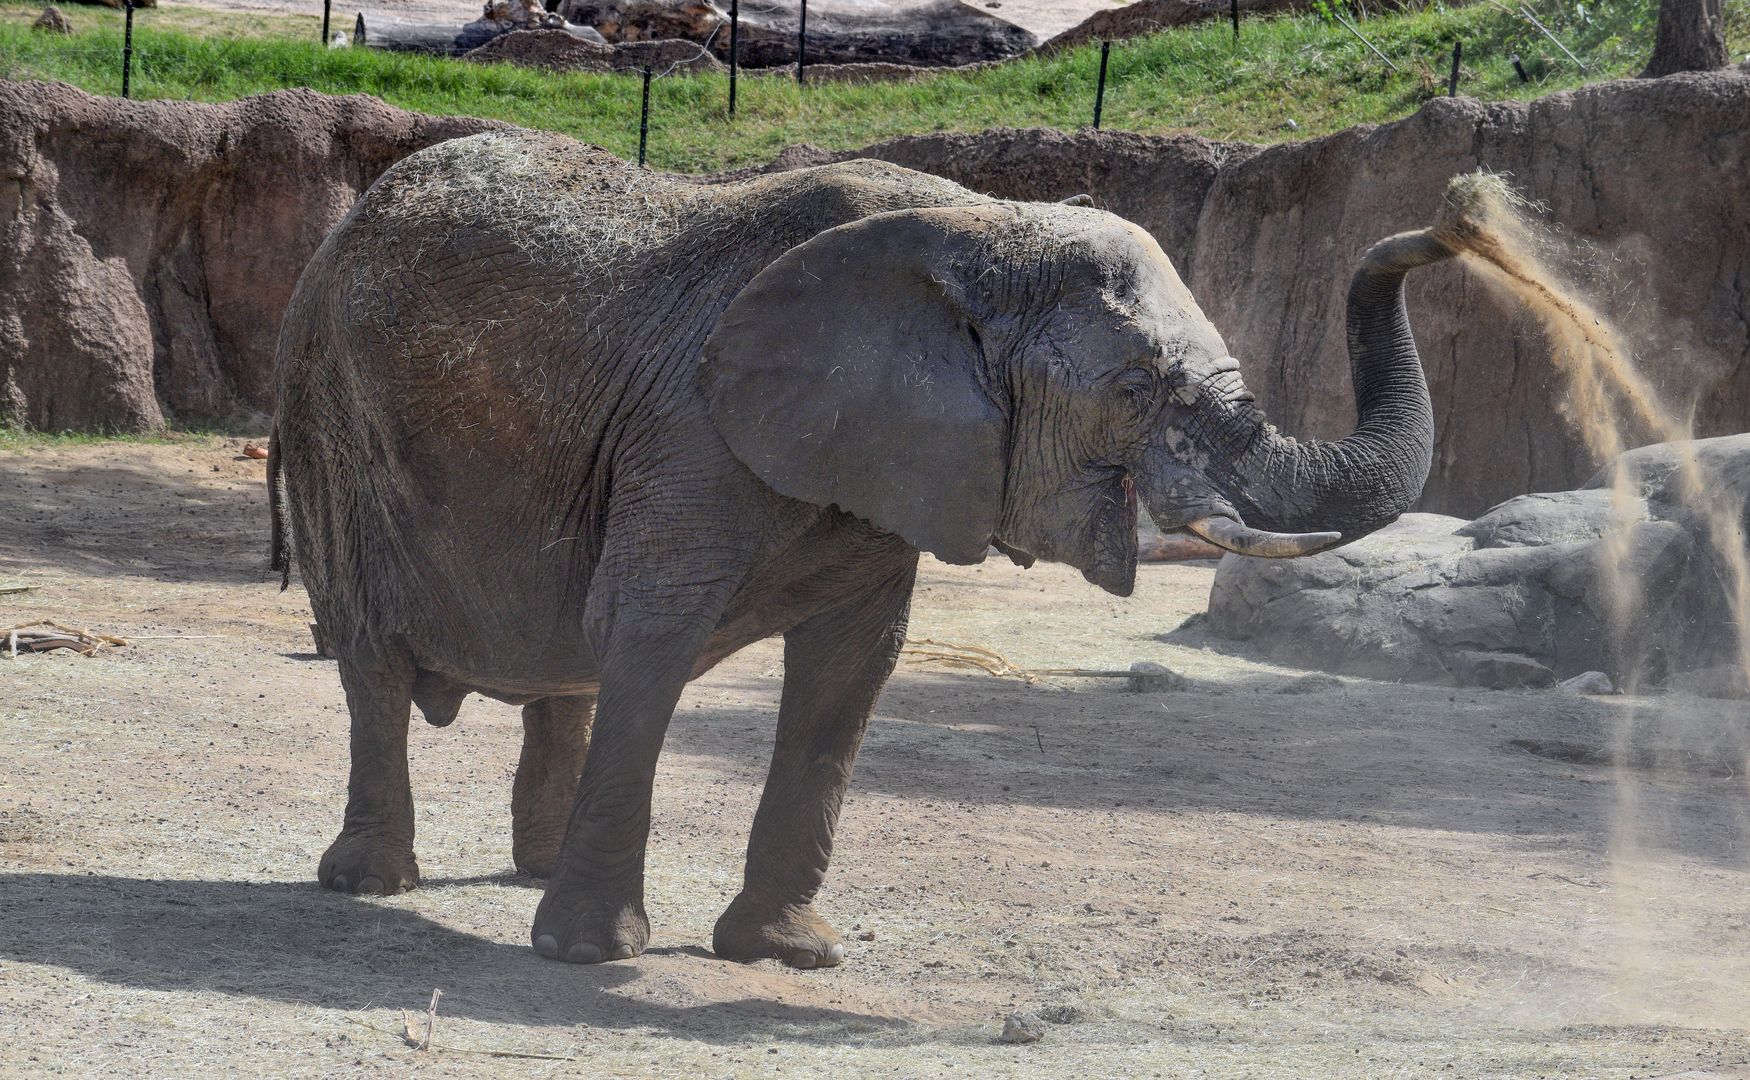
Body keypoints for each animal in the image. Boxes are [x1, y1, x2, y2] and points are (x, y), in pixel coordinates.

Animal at [269, 128, 1458, 969]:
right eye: (1134, 390)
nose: (1448, 224)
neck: (977, 228)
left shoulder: (895, 467)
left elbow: (851, 670)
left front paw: (789, 955)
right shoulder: (694, 433)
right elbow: (649, 634)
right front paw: (588, 956)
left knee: (560, 666)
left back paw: (531, 870)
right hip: (331, 424)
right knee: (374, 658)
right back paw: (373, 883)